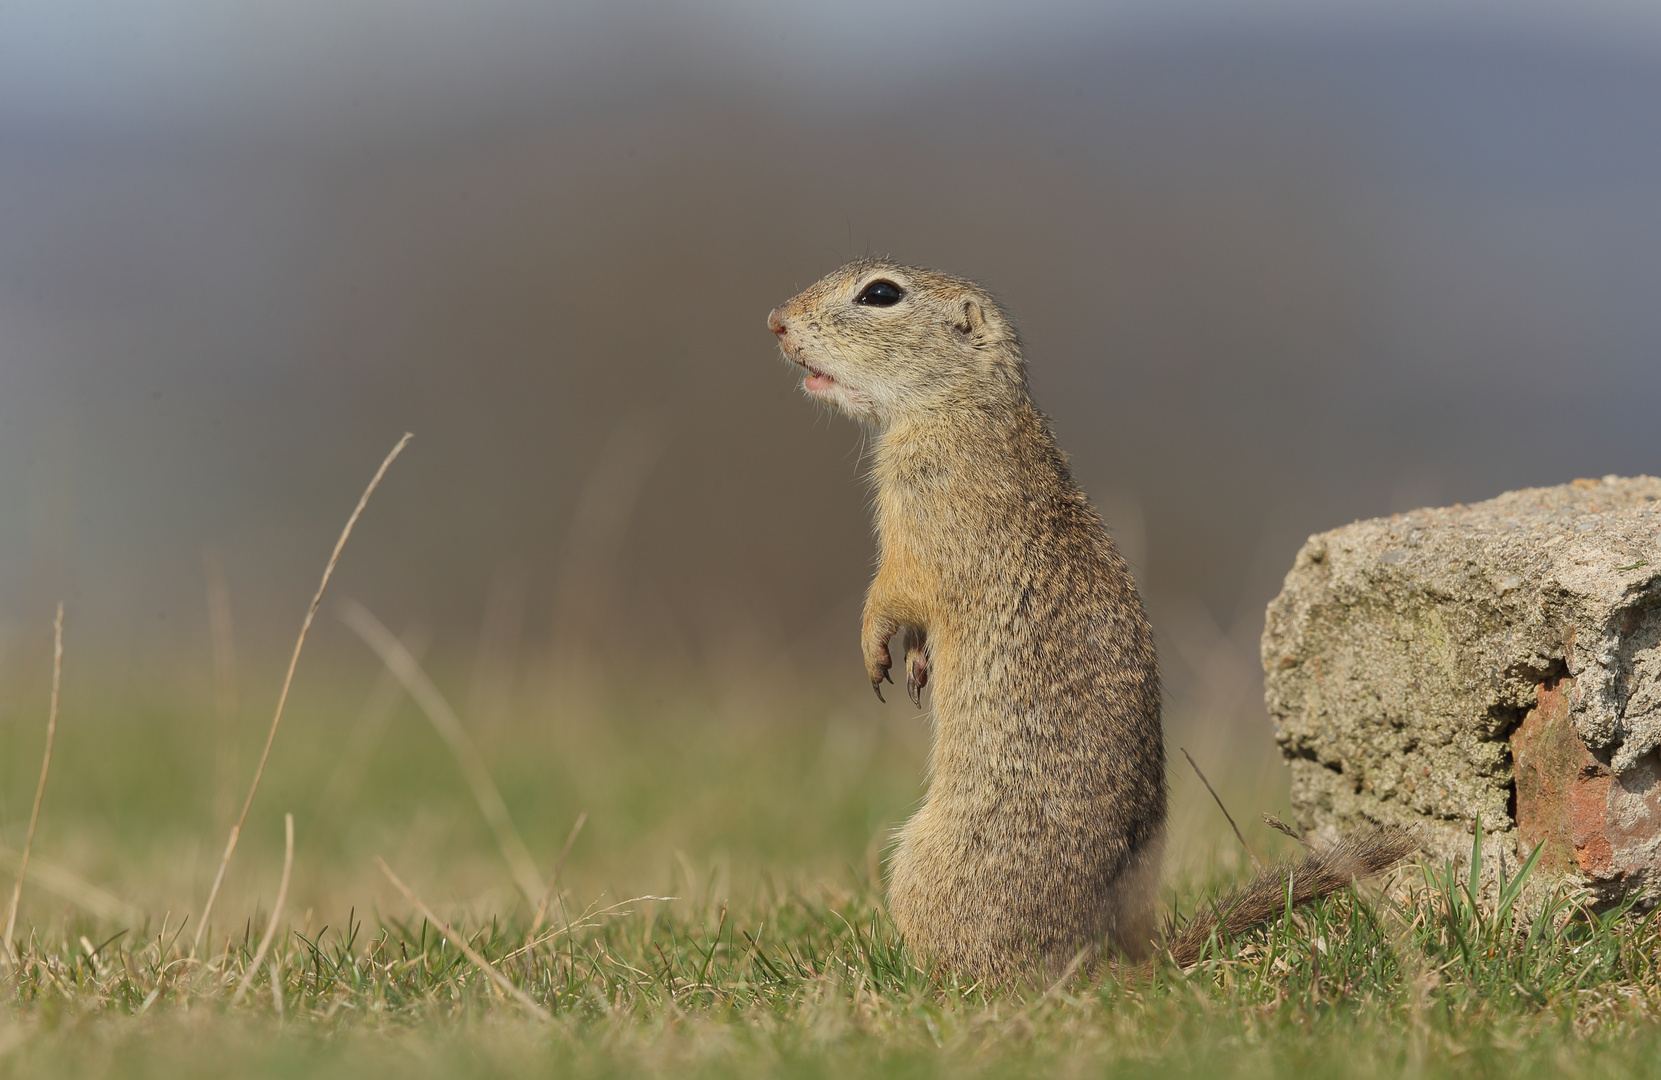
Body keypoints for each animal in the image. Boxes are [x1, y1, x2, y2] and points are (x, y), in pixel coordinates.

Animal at [770, 255, 1408, 976]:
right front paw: (912, 665)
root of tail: (1105, 960)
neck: (961, 407)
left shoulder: (923, 514)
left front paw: (874, 650)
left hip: (917, 868)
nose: (775, 321)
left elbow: (894, 591)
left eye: (880, 294)